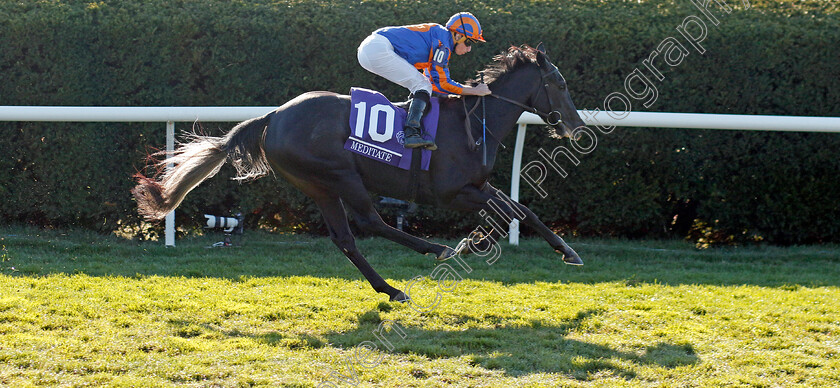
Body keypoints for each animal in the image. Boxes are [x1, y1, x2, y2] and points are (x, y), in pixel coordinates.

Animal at [135, 43, 588, 304]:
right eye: (560, 84)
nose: (575, 125)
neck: (473, 122)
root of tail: (273, 116)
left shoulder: (477, 185)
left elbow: (517, 210)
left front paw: (488, 243)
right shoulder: (453, 191)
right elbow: (515, 212)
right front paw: (558, 250)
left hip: (318, 186)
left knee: (346, 239)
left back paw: (391, 288)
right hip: (340, 176)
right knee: (371, 222)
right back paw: (434, 250)